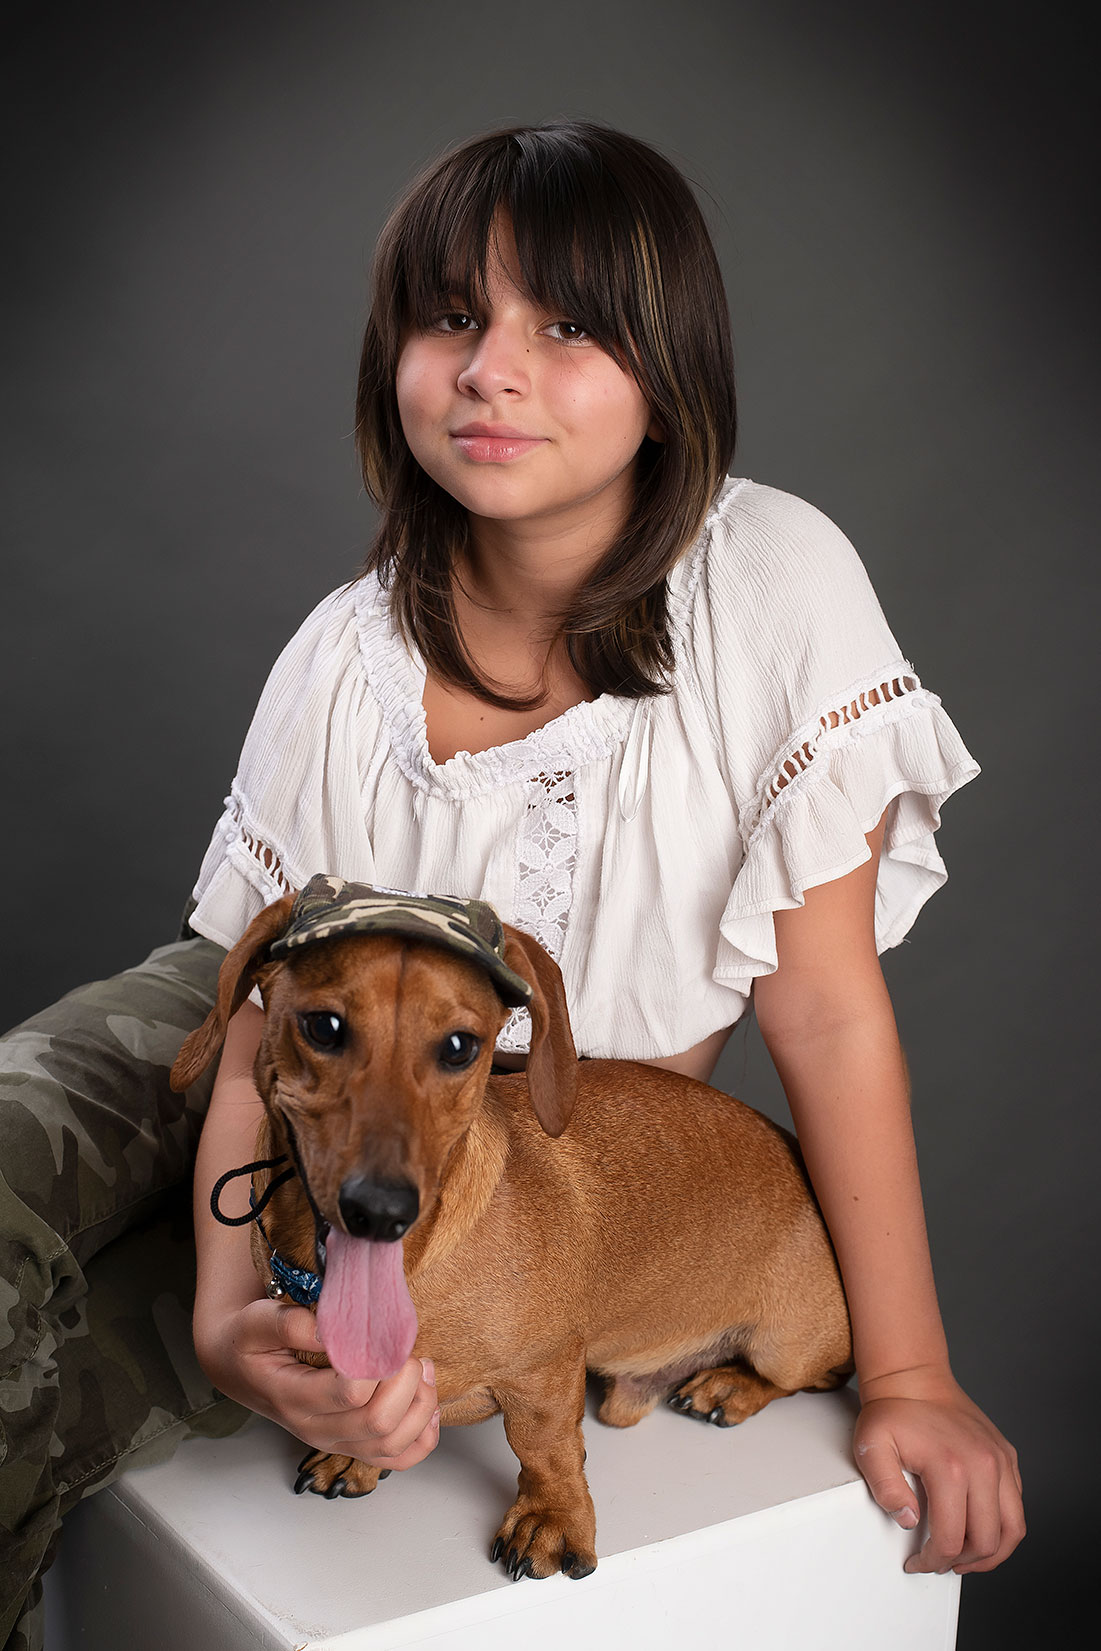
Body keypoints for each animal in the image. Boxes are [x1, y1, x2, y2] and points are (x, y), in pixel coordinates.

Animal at [171, 876, 852, 1582]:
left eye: (459, 1047)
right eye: (324, 1027)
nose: (381, 1210)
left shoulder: (543, 1372)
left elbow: (544, 1445)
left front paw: (551, 1519)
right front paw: (355, 1457)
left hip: (787, 1343)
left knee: (813, 1376)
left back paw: (729, 1385)